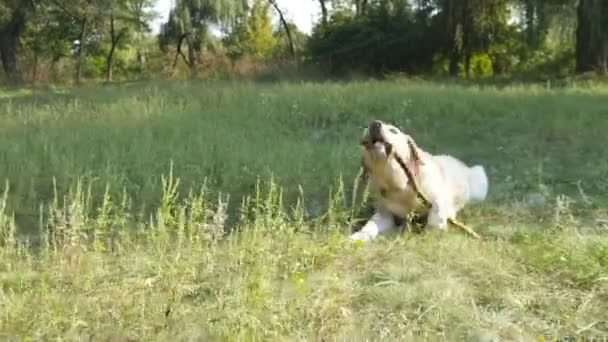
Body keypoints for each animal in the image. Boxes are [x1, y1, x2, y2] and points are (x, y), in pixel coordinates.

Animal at [350, 119, 486, 242]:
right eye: (366, 129)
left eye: (393, 130)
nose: (374, 124)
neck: (399, 184)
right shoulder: (385, 212)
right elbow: (371, 225)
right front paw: (358, 236)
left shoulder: (438, 195)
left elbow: (436, 214)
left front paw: (431, 234)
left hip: (480, 181)